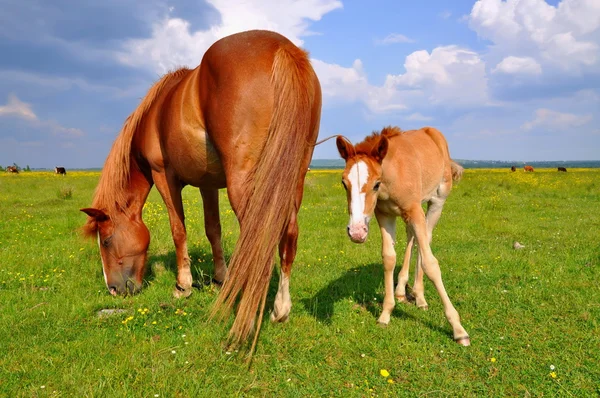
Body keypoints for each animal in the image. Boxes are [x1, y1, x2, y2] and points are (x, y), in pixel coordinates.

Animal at [81, 30, 324, 348]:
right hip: (292, 178)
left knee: (258, 239)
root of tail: (283, 48)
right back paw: (279, 308)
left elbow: (178, 229)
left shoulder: (164, 175)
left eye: (107, 241)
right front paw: (220, 278)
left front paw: (182, 286)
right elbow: (213, 229)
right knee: (288, 235)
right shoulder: (208, 185)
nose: (113, 289)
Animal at [338, 125, 468, 346]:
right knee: (411, 238)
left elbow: (431, 263)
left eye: (376, 183)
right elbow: (389, 258)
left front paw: (458, 329)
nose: (356, 232)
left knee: (425, 240)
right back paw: (401, 291)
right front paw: (385, 313)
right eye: (344, 183)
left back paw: (420, 297)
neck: (392, 177)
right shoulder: (384, 215)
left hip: (435, 203)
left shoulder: (415, 210)